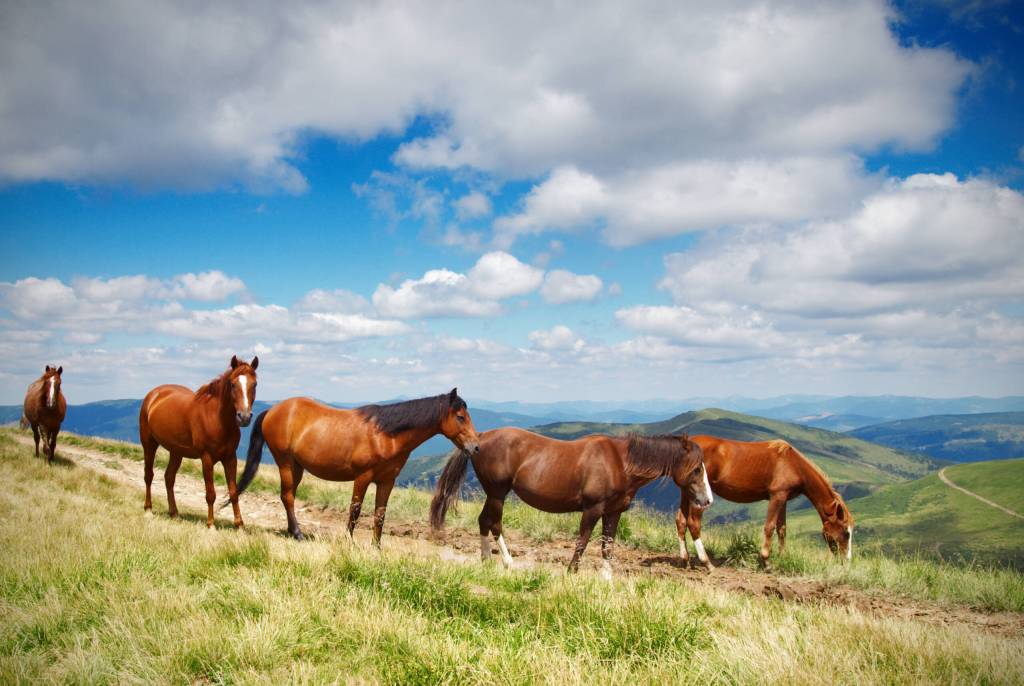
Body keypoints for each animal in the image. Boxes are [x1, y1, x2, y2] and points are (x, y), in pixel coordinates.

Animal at [139, 355, 259, 529]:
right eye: (232, 384)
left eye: (254, 384)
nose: (244, 417)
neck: (217, 419)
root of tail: (154, 395)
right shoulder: (206, 458)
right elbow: (210, 494)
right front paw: (211, 525)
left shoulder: (230, 458)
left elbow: (234, 492)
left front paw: (239, 525)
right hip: (149, 444)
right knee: (149, 475)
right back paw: (148, 510)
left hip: (176, 452)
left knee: (169, 478)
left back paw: (174, 513)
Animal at [231, 388, 480, 545]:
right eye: (460, 417)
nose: (476, 446)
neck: (385, 435)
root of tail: (272, 411)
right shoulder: (363, 477)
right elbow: (355, 510)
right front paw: (349, 541)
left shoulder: (387, 481)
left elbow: (380, 514)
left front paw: (376, 547)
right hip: (285, 462)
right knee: (288, 496)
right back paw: (298, 534)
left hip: (297, 466)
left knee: (287, 495)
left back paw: (294, 532)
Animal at [430, 427, 712, 579]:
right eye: (697, 469)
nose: (707, 500)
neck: (620, 463)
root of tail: (479, 437)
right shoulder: (593, 509)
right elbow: (583, 541)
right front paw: (571, 571)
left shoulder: (614, 512)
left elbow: (607, 545)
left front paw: (607, 577)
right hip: (498, 493)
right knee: (495, 523)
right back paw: (508, 562)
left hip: (493, 494)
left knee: (483, 521)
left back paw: (487, 559)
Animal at [676, 436, 854, 569]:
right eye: (846, 532)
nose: (847, 561)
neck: (794, 465)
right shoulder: (777, 496)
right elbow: (769, 527)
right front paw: (766, 561)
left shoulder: (783, 498)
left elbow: (781, 529)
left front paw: (782, 557)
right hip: (700, 498)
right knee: (694, 524)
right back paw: (706, 563)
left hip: (687, 492)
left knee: (681, 521)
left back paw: (685, 560)